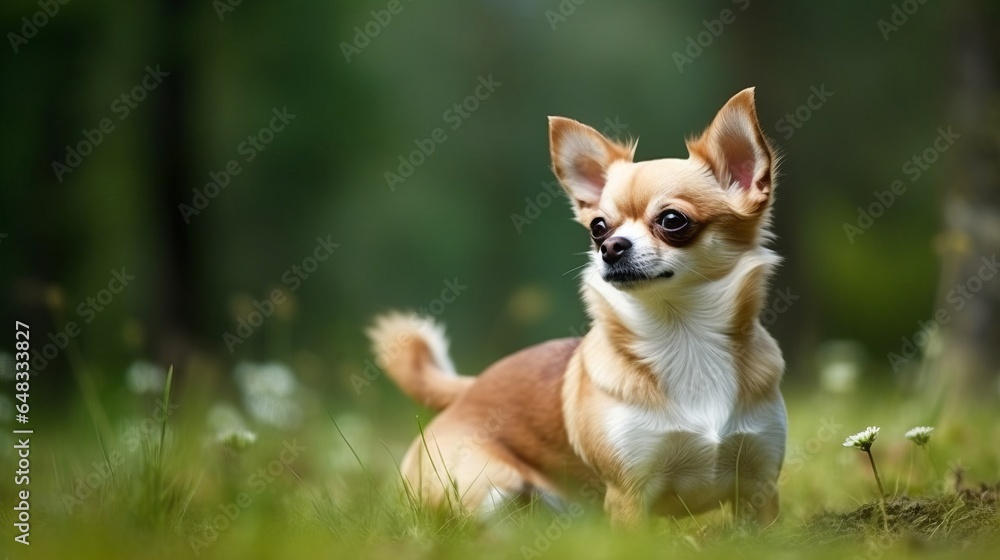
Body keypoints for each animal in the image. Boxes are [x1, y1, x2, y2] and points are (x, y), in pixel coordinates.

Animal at [372, 88, 784, 528]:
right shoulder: (628, 495)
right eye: (598, 227)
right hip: (487, 486)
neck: (684, 337)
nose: (611, 247)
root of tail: (469, 390)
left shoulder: (760, 488)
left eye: (672, 220)